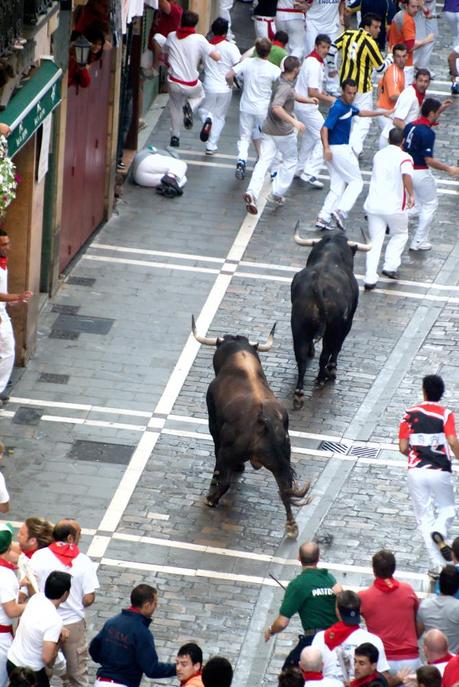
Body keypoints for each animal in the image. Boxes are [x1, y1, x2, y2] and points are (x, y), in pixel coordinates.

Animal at [190, 316, 312, 536]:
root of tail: (265, 421)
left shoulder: (214, 422)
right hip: (281, 461)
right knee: (285, 487)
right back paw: (291, 524)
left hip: (228, 452)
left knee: (225, 480)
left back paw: (211, 499)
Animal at [292, 228, 372, 412]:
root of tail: (317, 285)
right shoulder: (347, 322)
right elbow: (337, 347)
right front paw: (332, 368)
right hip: (333, 328)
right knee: (326, 352)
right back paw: (323, 377)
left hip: (297, 326)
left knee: (301, 357)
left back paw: (299, 393)